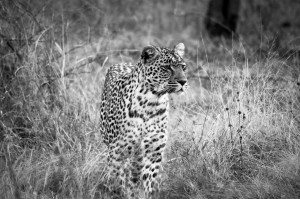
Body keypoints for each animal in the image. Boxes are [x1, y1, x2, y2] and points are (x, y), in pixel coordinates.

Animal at [99, 42, 186, 198]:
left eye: (183, 67)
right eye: (167, 67)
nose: (183, 81)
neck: (151, 103)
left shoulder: (154, 152)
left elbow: (148, 181)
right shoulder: (118, 152)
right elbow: (118, 180)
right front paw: (120, 193)